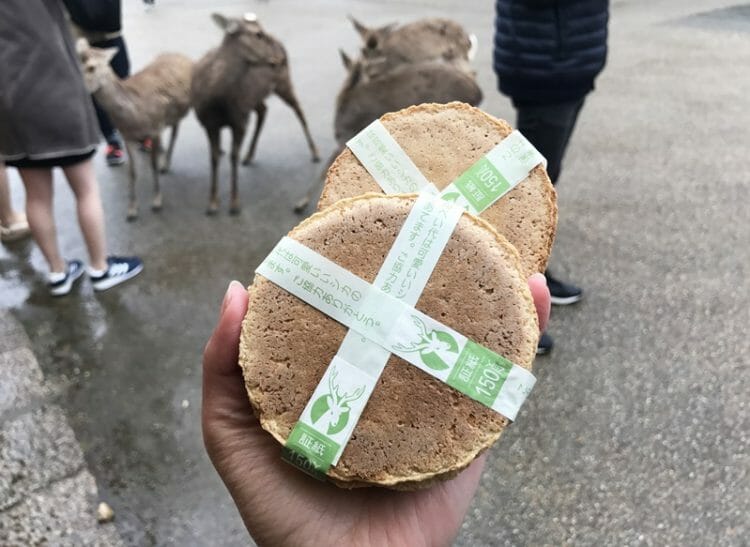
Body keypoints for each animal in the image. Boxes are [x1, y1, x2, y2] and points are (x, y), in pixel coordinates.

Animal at [76, 39, 192, 222]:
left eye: (92, 67)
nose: (79, 90)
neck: (134, 117)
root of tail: (181, 55)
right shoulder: (127, 136)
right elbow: (132, 172)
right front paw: (132, 209)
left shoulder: (155, 128)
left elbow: (152, 165)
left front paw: (157, 201)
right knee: (174, 129)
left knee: (175, 133)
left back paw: (166, 164)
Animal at [191, 11, 320, 215]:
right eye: (258, 34)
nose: (277, 58)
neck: (218, 100)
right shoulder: (208, 123)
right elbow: (213, 158)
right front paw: (212, 203)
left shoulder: (240, 120)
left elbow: (233, 156)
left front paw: (234, 203)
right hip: (256, 97)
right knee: (264, 110)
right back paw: (249, 155)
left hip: (283, 80)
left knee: (298, 109)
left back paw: (315, 152)